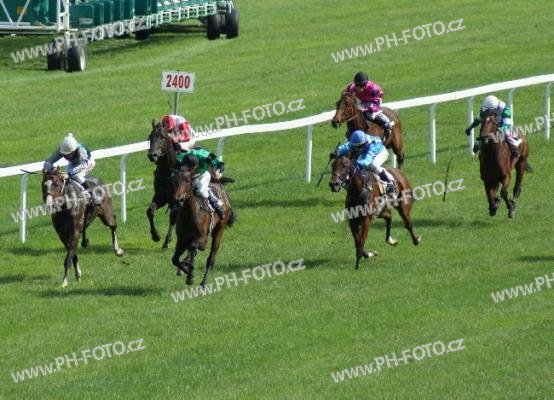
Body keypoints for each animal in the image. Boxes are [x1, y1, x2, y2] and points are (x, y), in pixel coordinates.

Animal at [147, 120, 179, 249]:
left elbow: (173, 217)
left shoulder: (176, 200)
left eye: (163, 137)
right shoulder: (161, 196)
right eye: (150, 137)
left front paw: (167, 241)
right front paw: (155, 236)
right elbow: (150, 211)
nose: (152, 155)